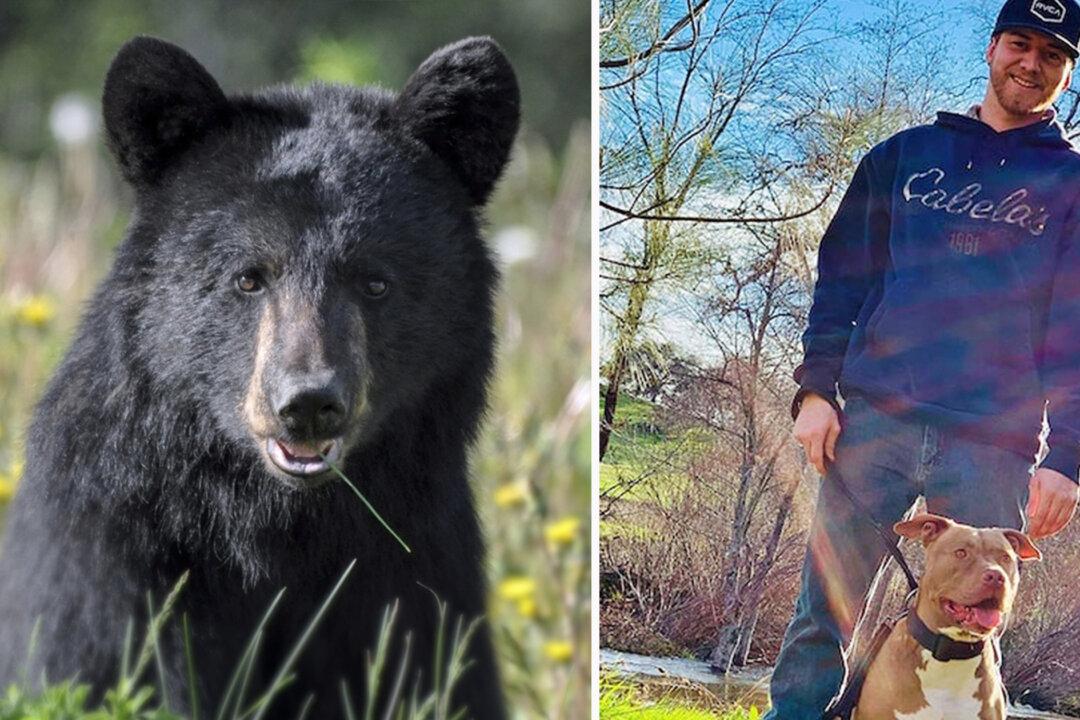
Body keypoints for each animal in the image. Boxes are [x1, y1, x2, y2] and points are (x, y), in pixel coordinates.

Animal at [0, 35, 518, 720]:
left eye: (375, 281)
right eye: (248, 277)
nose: (307, 404)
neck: (270, 525)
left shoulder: (417, 562)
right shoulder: (111, 563)